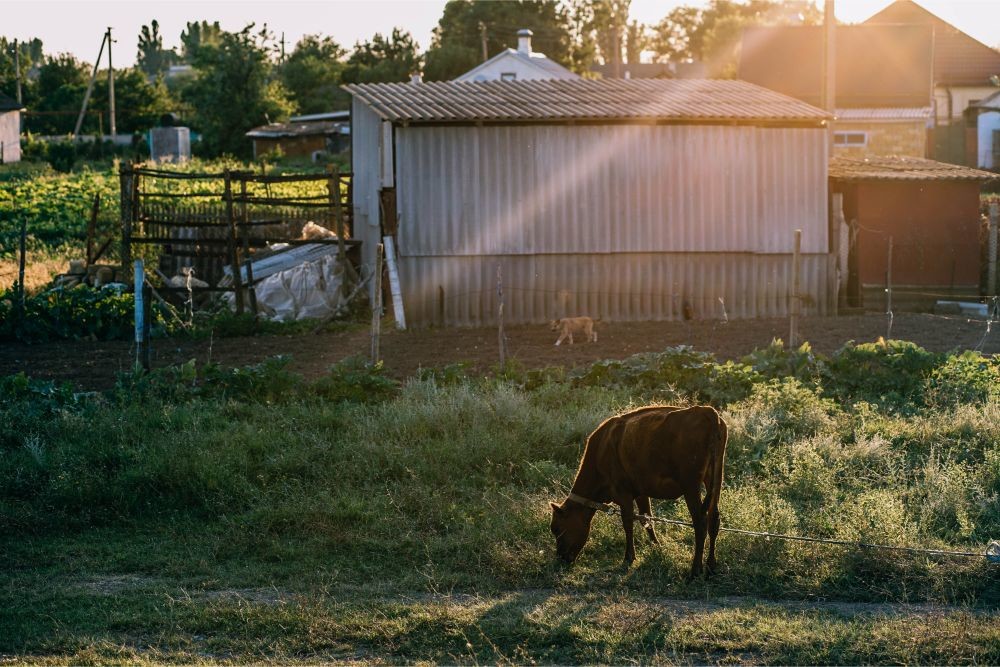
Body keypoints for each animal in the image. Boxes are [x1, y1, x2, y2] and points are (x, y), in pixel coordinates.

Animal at [552, 404, 732, 576]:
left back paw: (695, 570)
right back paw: (711, 566)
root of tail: (707, 411)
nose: (561, 558)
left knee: (700, 522)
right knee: (714, 519)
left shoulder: (622, 491)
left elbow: (628, 522)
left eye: (557, 529)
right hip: (715, 479)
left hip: (691, 485)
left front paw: (628, 557)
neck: (600, 450)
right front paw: (656, 545)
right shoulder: (641, 491)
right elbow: (646, 518)